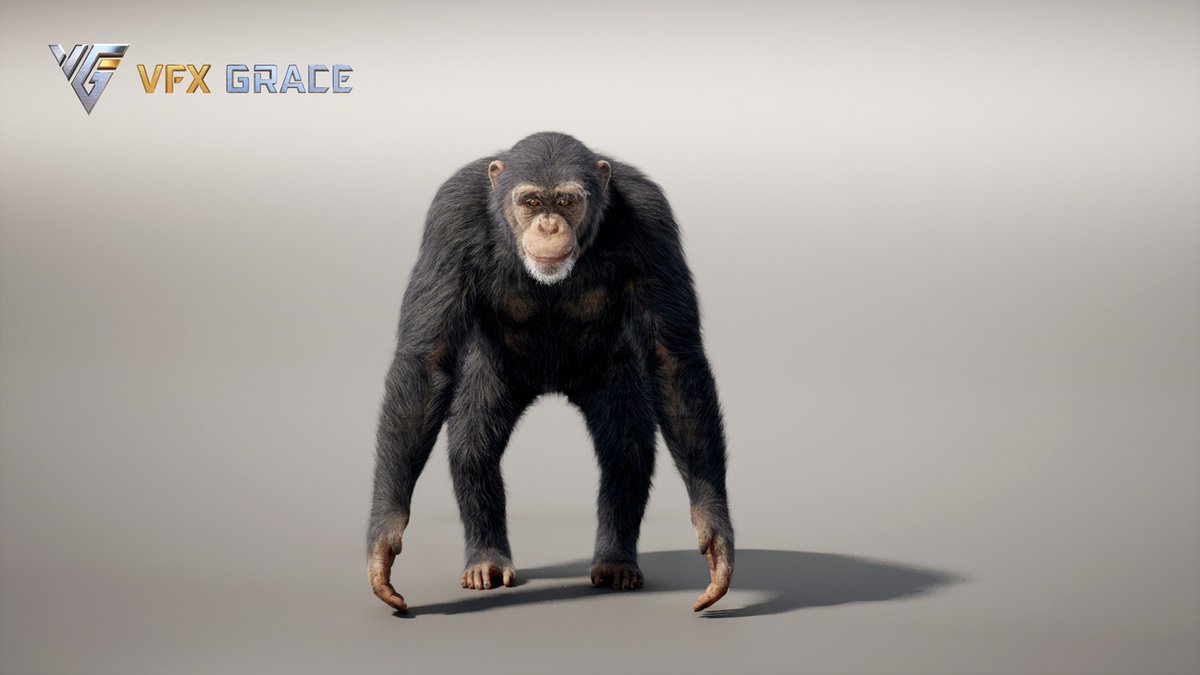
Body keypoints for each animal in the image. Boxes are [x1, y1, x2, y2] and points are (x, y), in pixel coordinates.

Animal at [367, 132, 733, 613]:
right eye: (531, 201)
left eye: (565, 201)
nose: (547, 225)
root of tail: (551, 385)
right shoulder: (450, 218)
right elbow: (426, 360)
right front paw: (385, 536)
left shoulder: (654, 223)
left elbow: (673, 359)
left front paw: (712, 527)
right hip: (493, 372)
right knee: (473, 444)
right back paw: (486, 560)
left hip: (611, 373)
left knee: (625, 448)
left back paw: (615, 561)